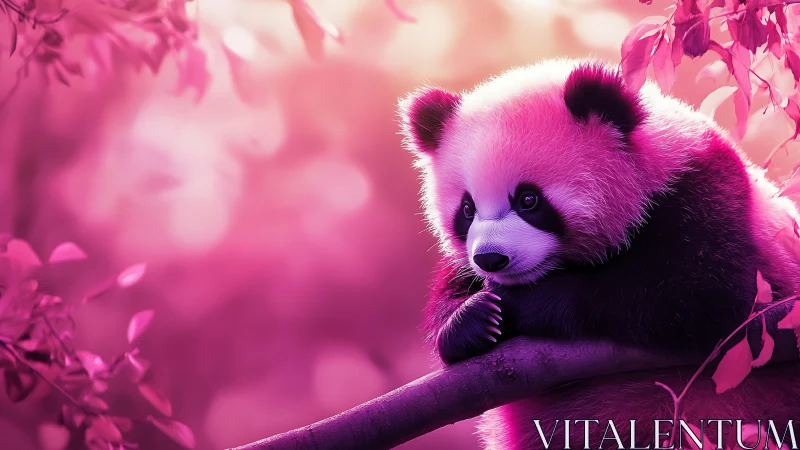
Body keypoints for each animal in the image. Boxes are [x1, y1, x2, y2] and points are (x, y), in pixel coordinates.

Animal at [398, 58, 800, 449]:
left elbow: (709, 292)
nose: (492, 259)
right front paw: (473, 318)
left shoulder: (702, 189)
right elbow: (453, 288)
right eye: (467, 210)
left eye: (529, 200)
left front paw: (524, 304)